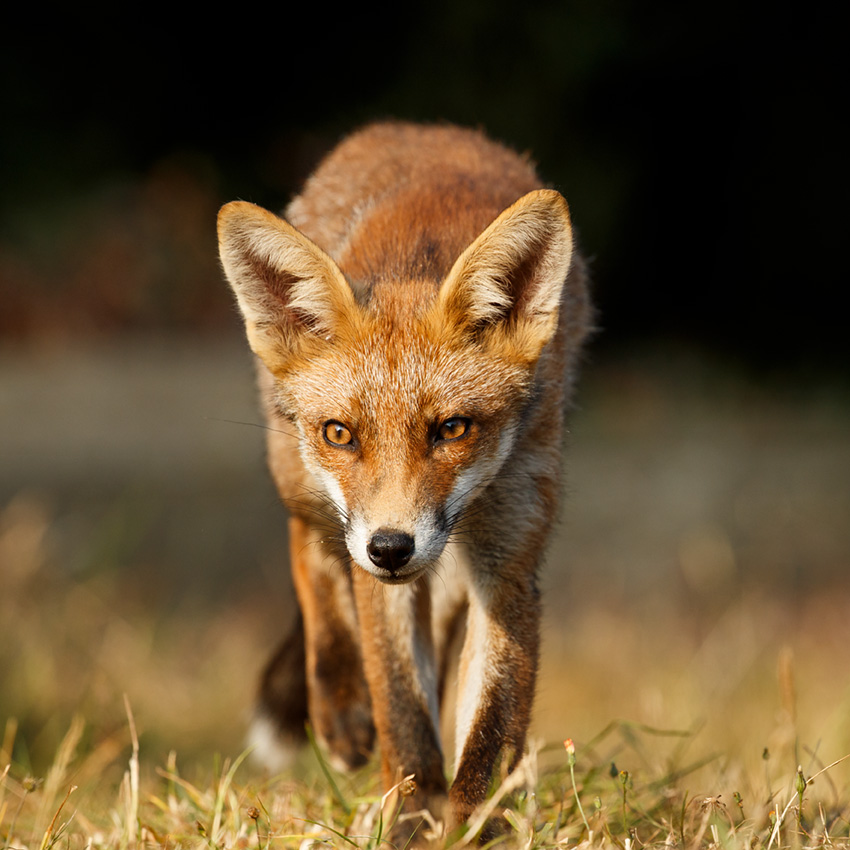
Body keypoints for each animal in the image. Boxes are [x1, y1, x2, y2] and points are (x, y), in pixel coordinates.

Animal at [217, 121, 592, 840]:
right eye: (341, 433)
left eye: (452, 429)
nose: (391, 548)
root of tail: (419, 129)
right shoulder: (376, 569)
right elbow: (402, 712)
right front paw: (410, 822)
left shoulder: (508, 556)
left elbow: (491, 726)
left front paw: (473, 828)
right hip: (302, 484)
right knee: (310, 554)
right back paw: (339, 706)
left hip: (440, 568)